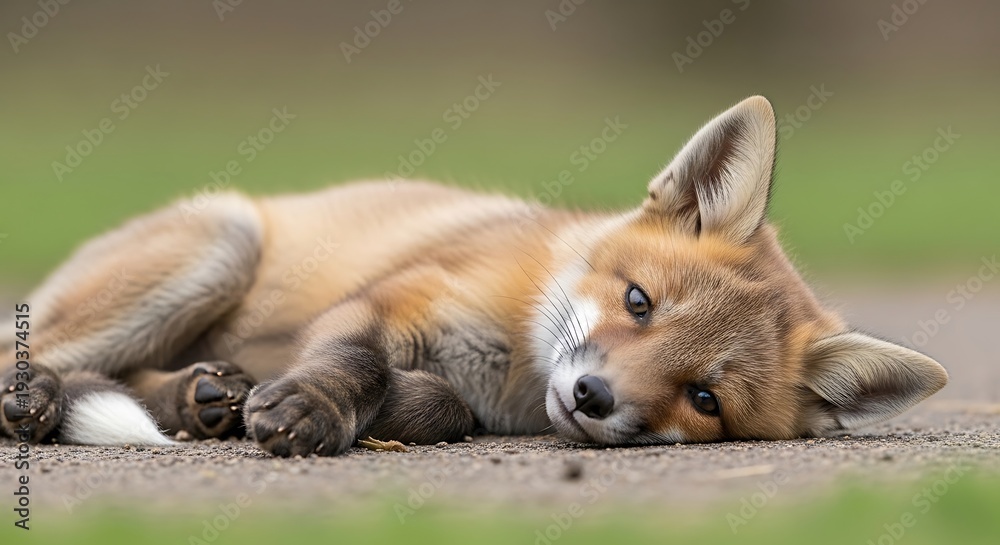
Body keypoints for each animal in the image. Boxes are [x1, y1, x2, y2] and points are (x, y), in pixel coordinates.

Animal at [1, 96, 948, 457]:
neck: (513, 366)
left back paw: (198, 398)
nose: (595, 396)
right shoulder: (391, 297)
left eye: (705, 398)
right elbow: (358, 362)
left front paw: (392, 408)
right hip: (219, 245)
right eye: (638, 301)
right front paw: (314, 407)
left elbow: (445, 408)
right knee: (41, 354)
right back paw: (39, 396)